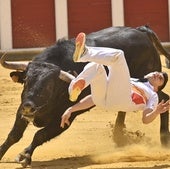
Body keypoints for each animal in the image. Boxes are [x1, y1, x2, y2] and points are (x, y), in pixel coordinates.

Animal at [0, 25, 170, 167]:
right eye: (26, 81)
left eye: (49, 85)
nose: (29, 108)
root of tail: (141, 31)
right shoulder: (22, 108)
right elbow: (14, 134)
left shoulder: (67, 117)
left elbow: (40, 134)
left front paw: (24, 155)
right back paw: (119, 136)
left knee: (164, 98)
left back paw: (164, 142)